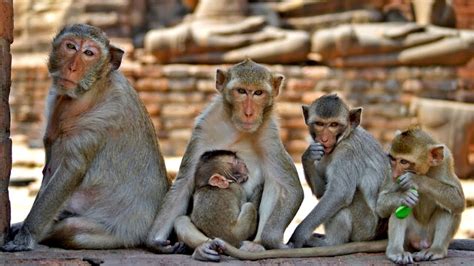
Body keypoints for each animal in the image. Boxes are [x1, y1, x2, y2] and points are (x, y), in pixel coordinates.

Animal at [1, 24, 170, 251]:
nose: (72, 67)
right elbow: (49, 167)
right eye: (71, 46)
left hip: (121, 235)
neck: (89, 91)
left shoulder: (103, 117)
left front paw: (26, 235)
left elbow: (71, 169)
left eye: (89, 53)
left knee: (72, 231)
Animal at [146, 58, 306, 260]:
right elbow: (184, 183)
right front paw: (154, 242)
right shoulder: (204, 127)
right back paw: (205, 247)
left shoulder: (269, 134)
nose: (249, 113)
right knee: (181, 220)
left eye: (258, 93)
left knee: (273, 183)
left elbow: (290, 187)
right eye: (241, 91)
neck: (238, 128)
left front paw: (274, 242)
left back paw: (255, 245)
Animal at [286, 94, 390, 248]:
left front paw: (299, 235)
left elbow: (338, 193)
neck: (343, 139)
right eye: (319, 124)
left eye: (334, 125)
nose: (324, 139)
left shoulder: (347, 153)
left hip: (364, 228)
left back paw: (330, 242)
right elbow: (322, 191)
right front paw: (308, 156)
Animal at [378, 127, 466, 264]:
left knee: (449, 208)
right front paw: (404, 196)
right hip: (410, 236)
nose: (395, 174)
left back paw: (436, 250)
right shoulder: (389, 168)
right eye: (392, 159)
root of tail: (421, 242)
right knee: (398, 209)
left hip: (429, 236)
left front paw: (416, 180)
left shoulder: (446, 161)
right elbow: (381, 204)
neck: (425, 170)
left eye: (404, 161)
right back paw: (396, 252)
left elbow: (458, 200)